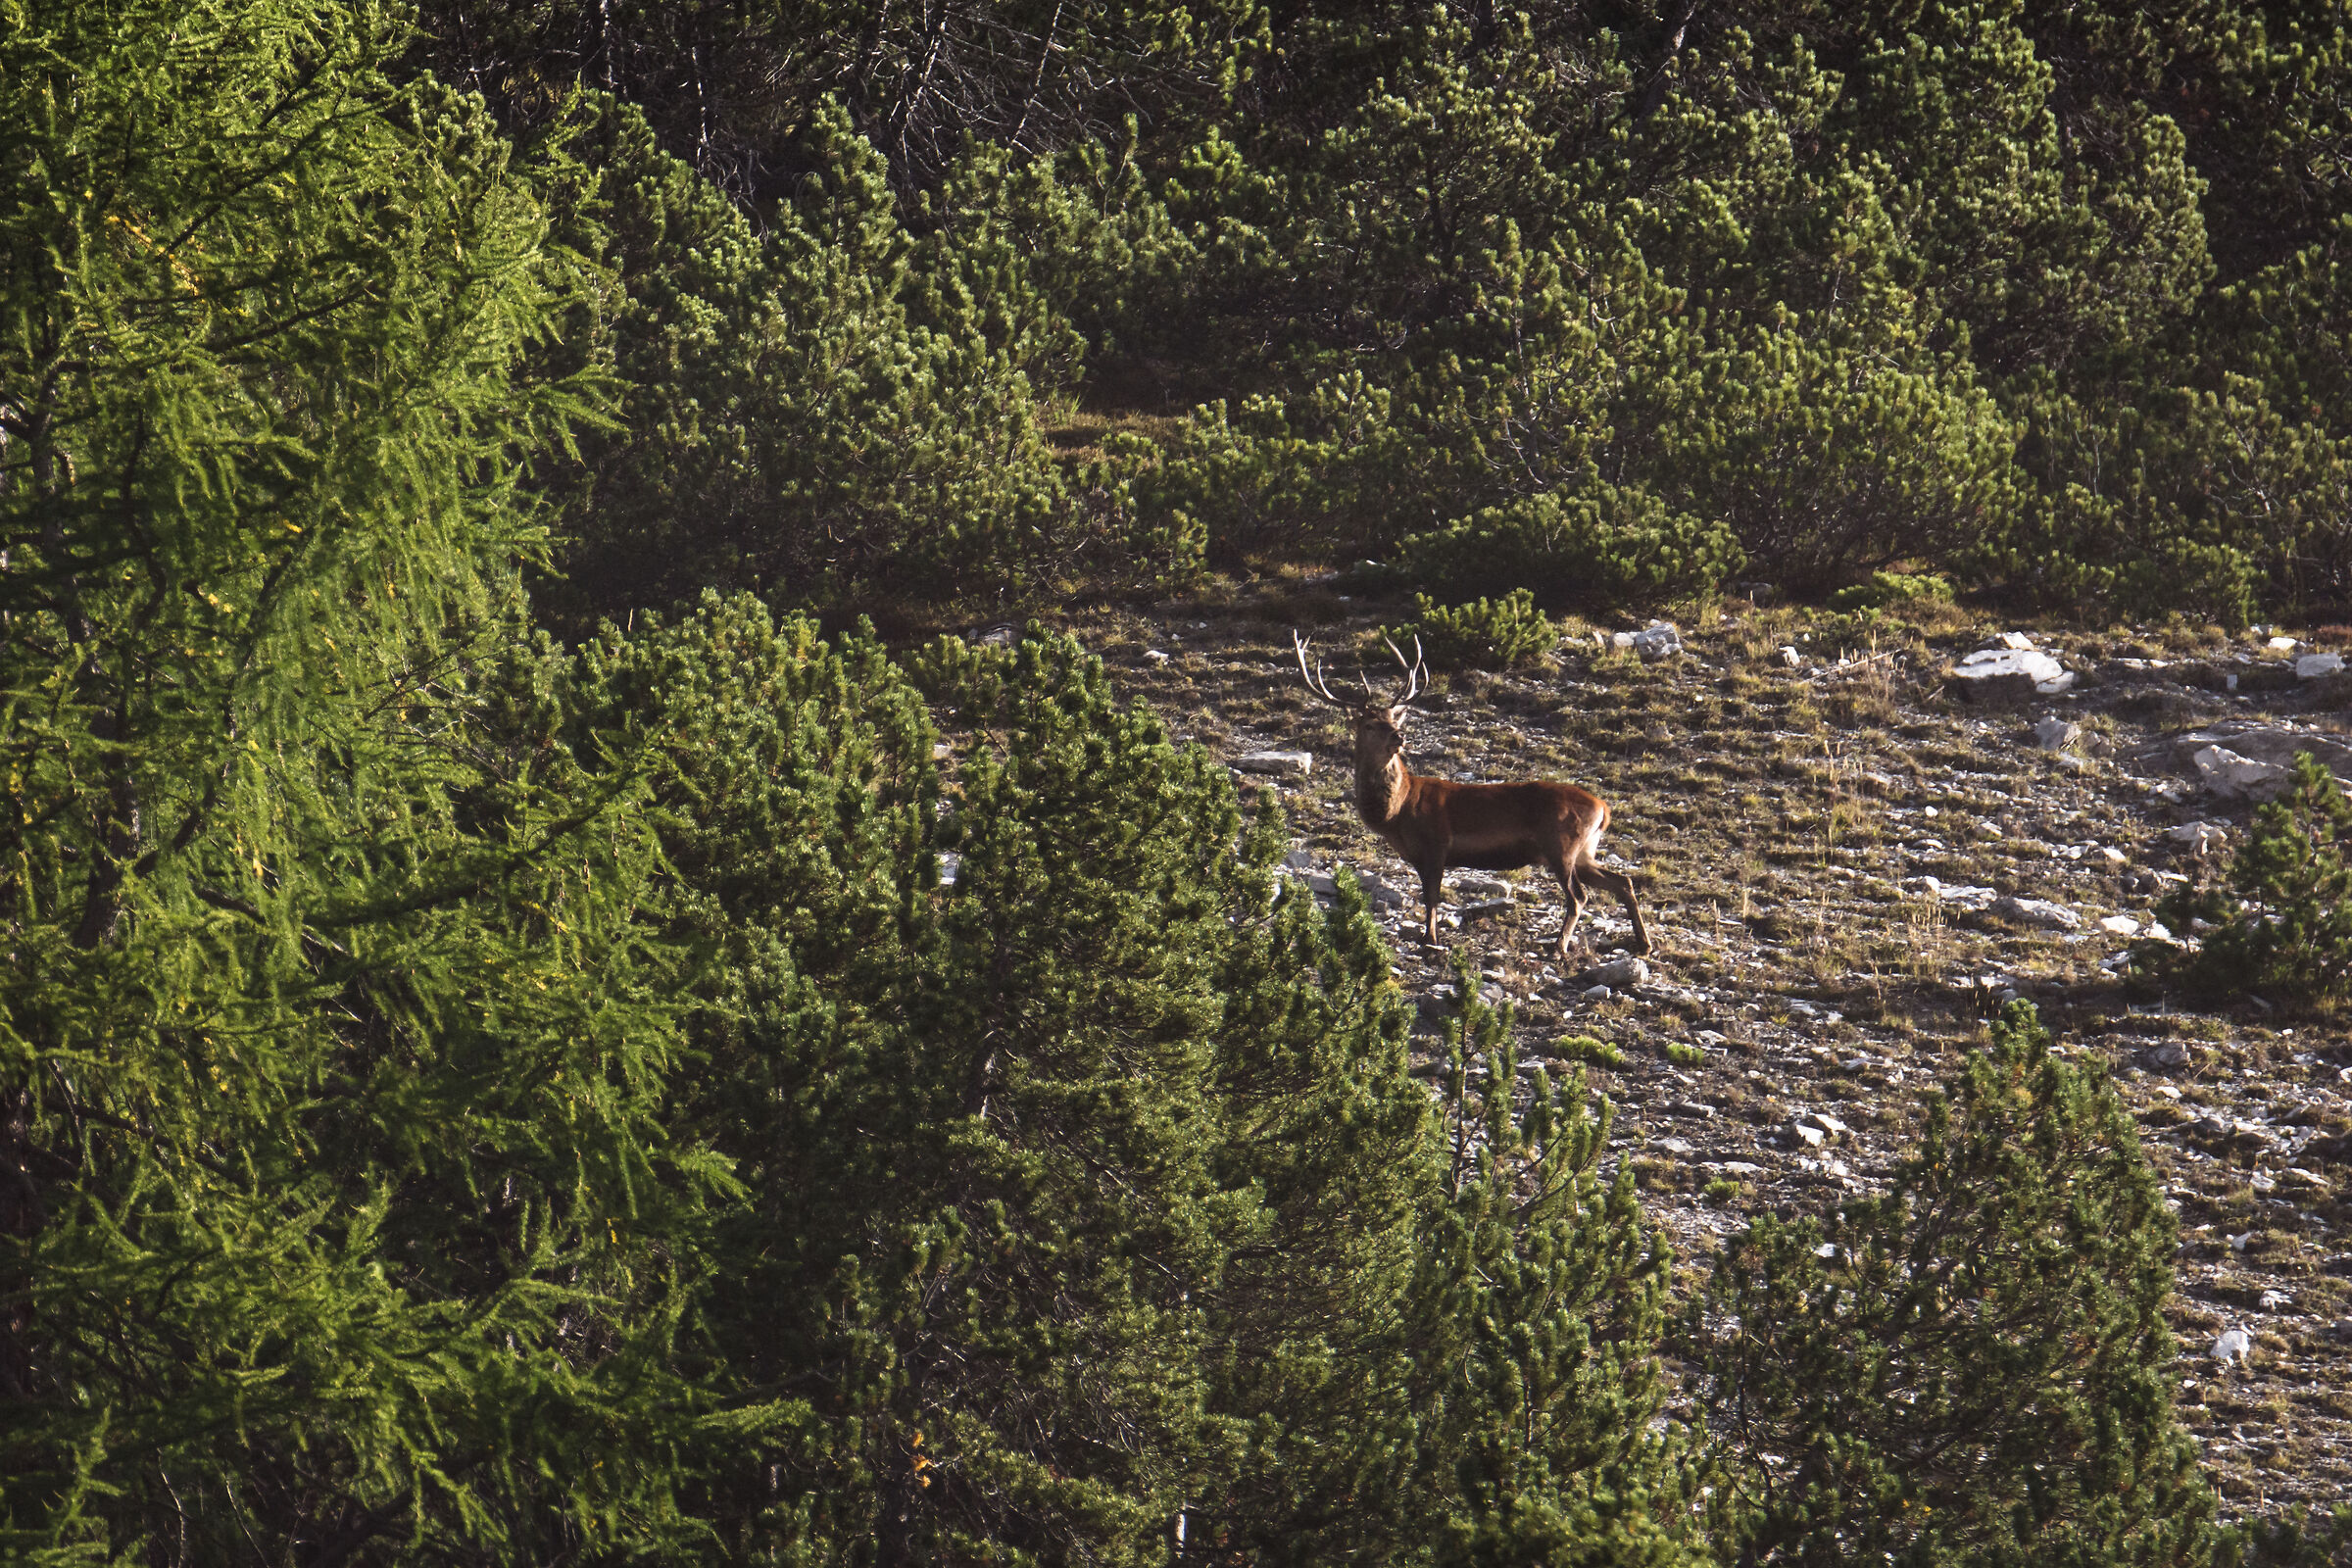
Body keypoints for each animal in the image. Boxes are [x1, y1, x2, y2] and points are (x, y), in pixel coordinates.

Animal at [1294, 631, 1652, 963]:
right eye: (1369, 724)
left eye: (1393, 719)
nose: (1399, 736)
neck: (1398, 811)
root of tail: (1603, 808)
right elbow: (1428, 894)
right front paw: (1428, 937)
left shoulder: (1437, 842)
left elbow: (1432, 895)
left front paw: (1430, 939)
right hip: (1585, 851)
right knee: (1623, 881)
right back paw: (1643, 944)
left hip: (1561, 844)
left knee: (1579, 896)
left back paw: (1559, 946)